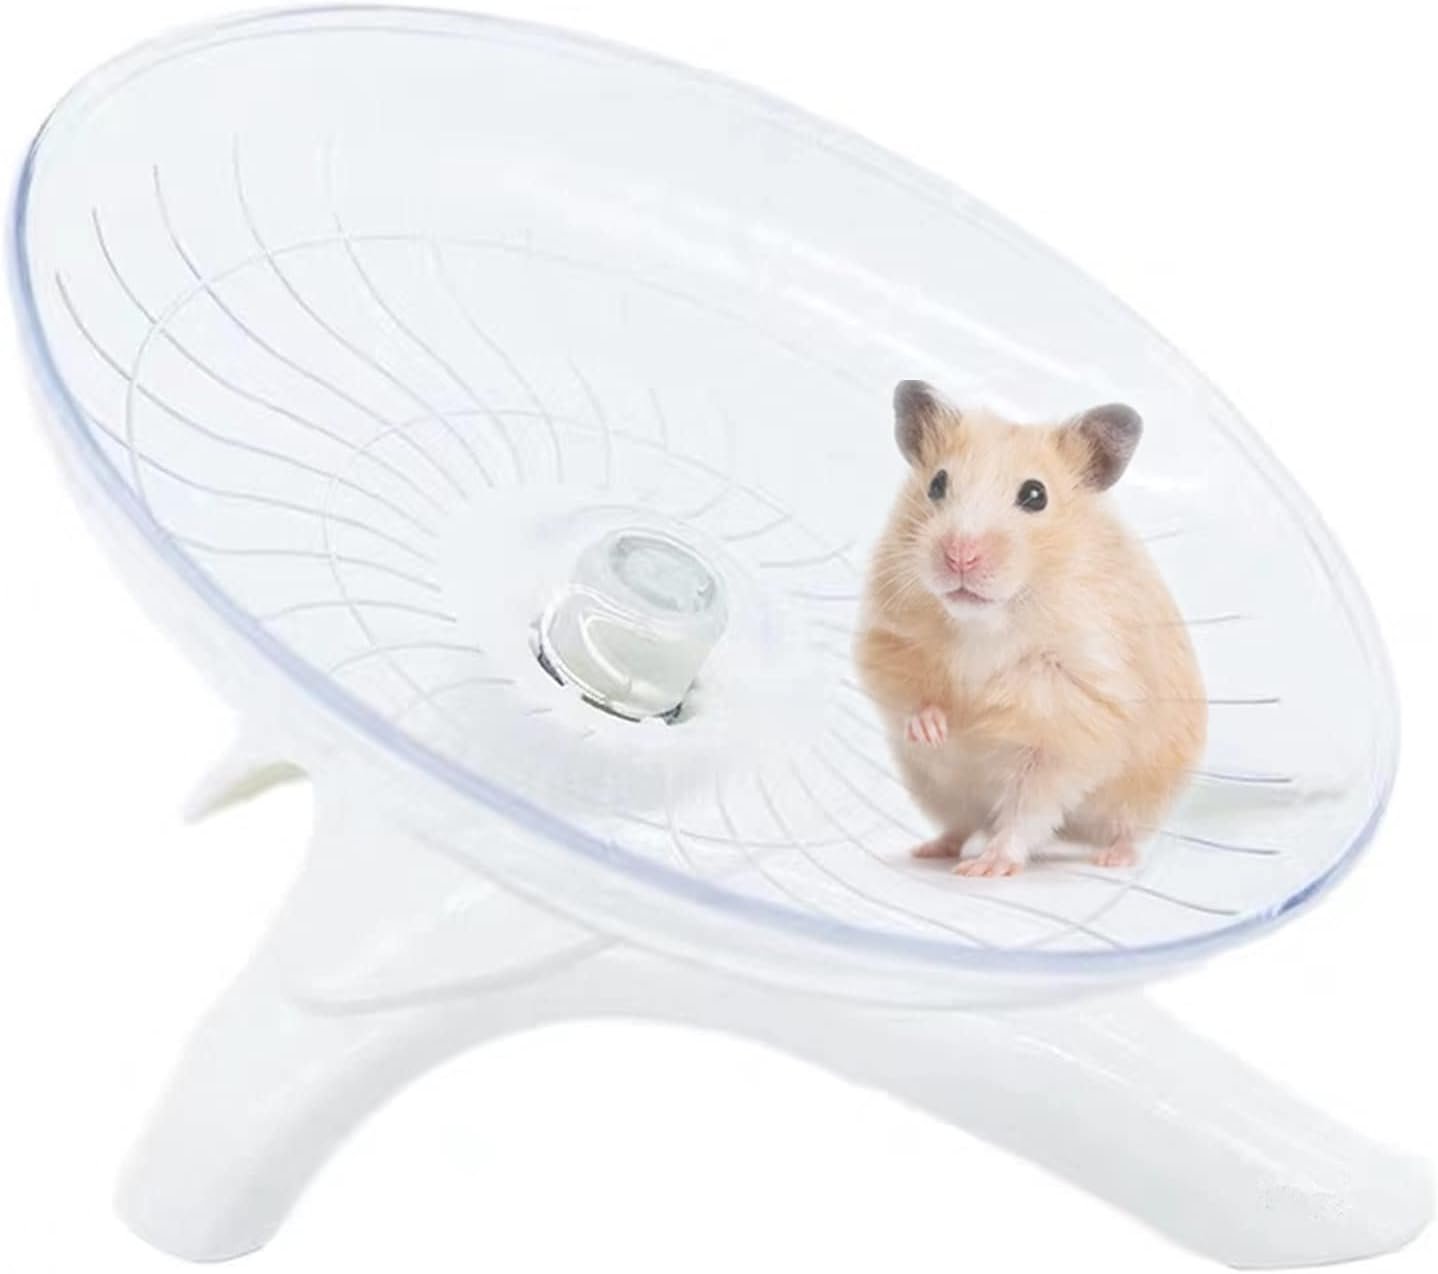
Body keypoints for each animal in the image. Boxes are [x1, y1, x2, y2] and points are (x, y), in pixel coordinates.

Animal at [855, 380, 1206, 877]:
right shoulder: (887, 638)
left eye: (1035, 495)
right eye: (937, 484)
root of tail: (1078, 835)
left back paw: (1108, 859)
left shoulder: (1073, 714)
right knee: (960, 824)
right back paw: (929, 849)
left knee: (1120, 832)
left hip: (1142, 799)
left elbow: (1028, 806)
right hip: (936, 789)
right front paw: (938, 728)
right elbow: (908, 694)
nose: (959, 555)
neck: (984, 623)